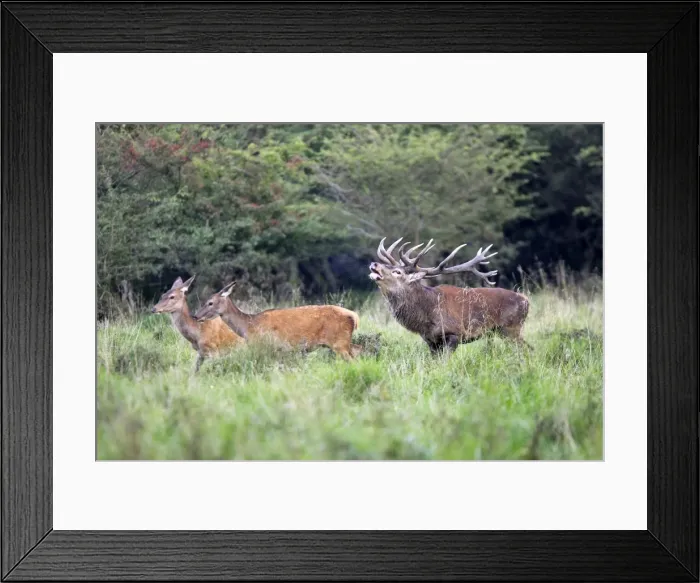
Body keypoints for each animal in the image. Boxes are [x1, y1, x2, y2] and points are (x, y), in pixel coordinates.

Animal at [193, 282, 362, 360]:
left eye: (210, 303)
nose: (196, 316)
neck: (249, 326)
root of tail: (354, 316)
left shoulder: (267, 346)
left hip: (339, 342)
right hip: (343, 342)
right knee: (358, 350)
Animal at [369, 237, 530, 354]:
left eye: (397, 272)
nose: (374, 264)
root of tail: (526, 301)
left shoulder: (454, 333)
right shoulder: (431, 340)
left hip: (511, 328)